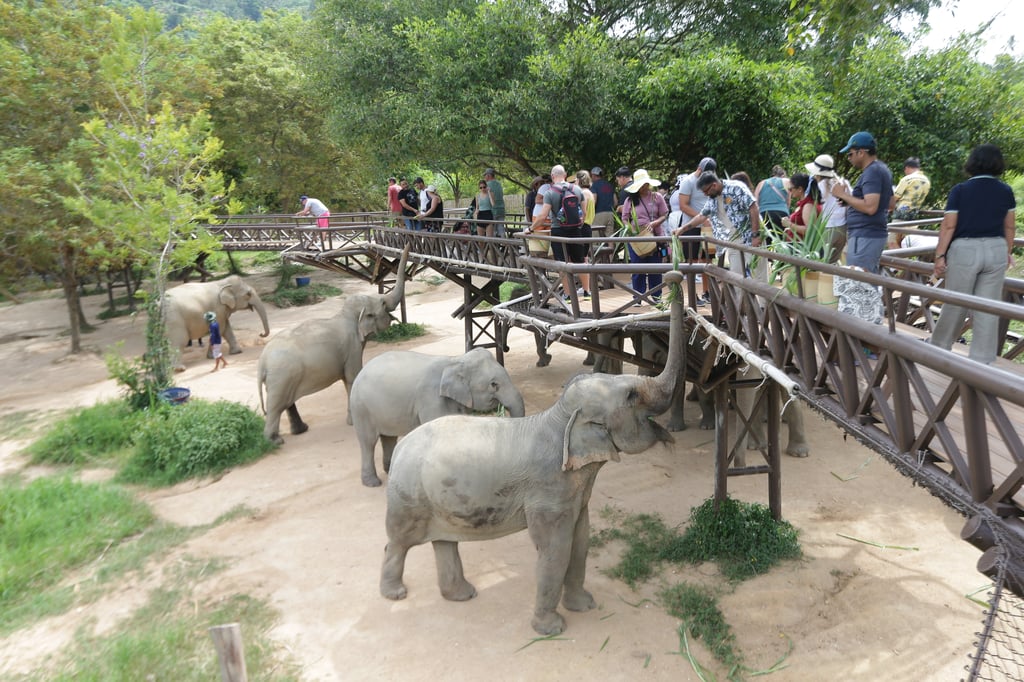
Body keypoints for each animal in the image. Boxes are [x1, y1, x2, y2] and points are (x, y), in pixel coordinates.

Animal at [257, 247, 409, 444]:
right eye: (383, 303)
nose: (407, 245)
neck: (346, 314)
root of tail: (262, 363)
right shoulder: (352, 346)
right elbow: (352, 376)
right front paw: (352, 424)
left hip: (282, 377)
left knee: (286, 402)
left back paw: (300, 430)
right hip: (281, 376)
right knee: (276, 405)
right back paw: (275, 441)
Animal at [350, 348, 526, 487]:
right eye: (493, 385)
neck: (456, 360)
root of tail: (360, 372)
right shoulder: (431, 398)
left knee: (388, 438)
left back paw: (391, 471)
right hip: (361, 408)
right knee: (368, 442)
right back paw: (372, 483)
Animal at [379, 271, 686, 636]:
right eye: (631, 396)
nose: (674, 274)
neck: (558, 418)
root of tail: (400, 448)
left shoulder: (575, 494)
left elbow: (581, 540)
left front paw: (585, 606)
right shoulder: (548, 492)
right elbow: (555, 548)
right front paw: (551, 630)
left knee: (443, 542)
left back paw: (462, 595)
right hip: (408, 499)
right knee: (398, 542)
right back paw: (395, 594)